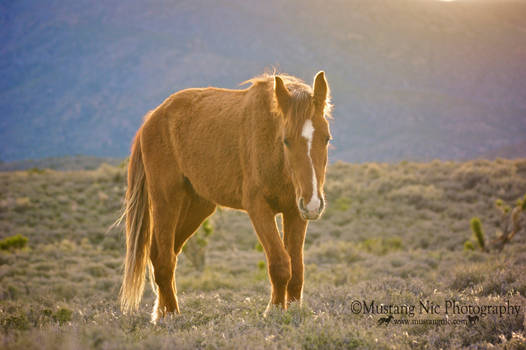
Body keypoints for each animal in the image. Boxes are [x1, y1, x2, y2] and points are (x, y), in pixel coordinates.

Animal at [121, 71, 332, 322]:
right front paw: (274, 311)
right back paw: (172, 315)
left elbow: (297, 269)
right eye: (286, 140)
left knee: (162, 254)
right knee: (163, 259)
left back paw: (161, 313)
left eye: (327, 138)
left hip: (196, 207)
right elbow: (280, 264)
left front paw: (292, 311)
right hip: (166, 200)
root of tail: (152, 117)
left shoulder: (295, 212)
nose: (313, 204)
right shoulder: (259, 209)